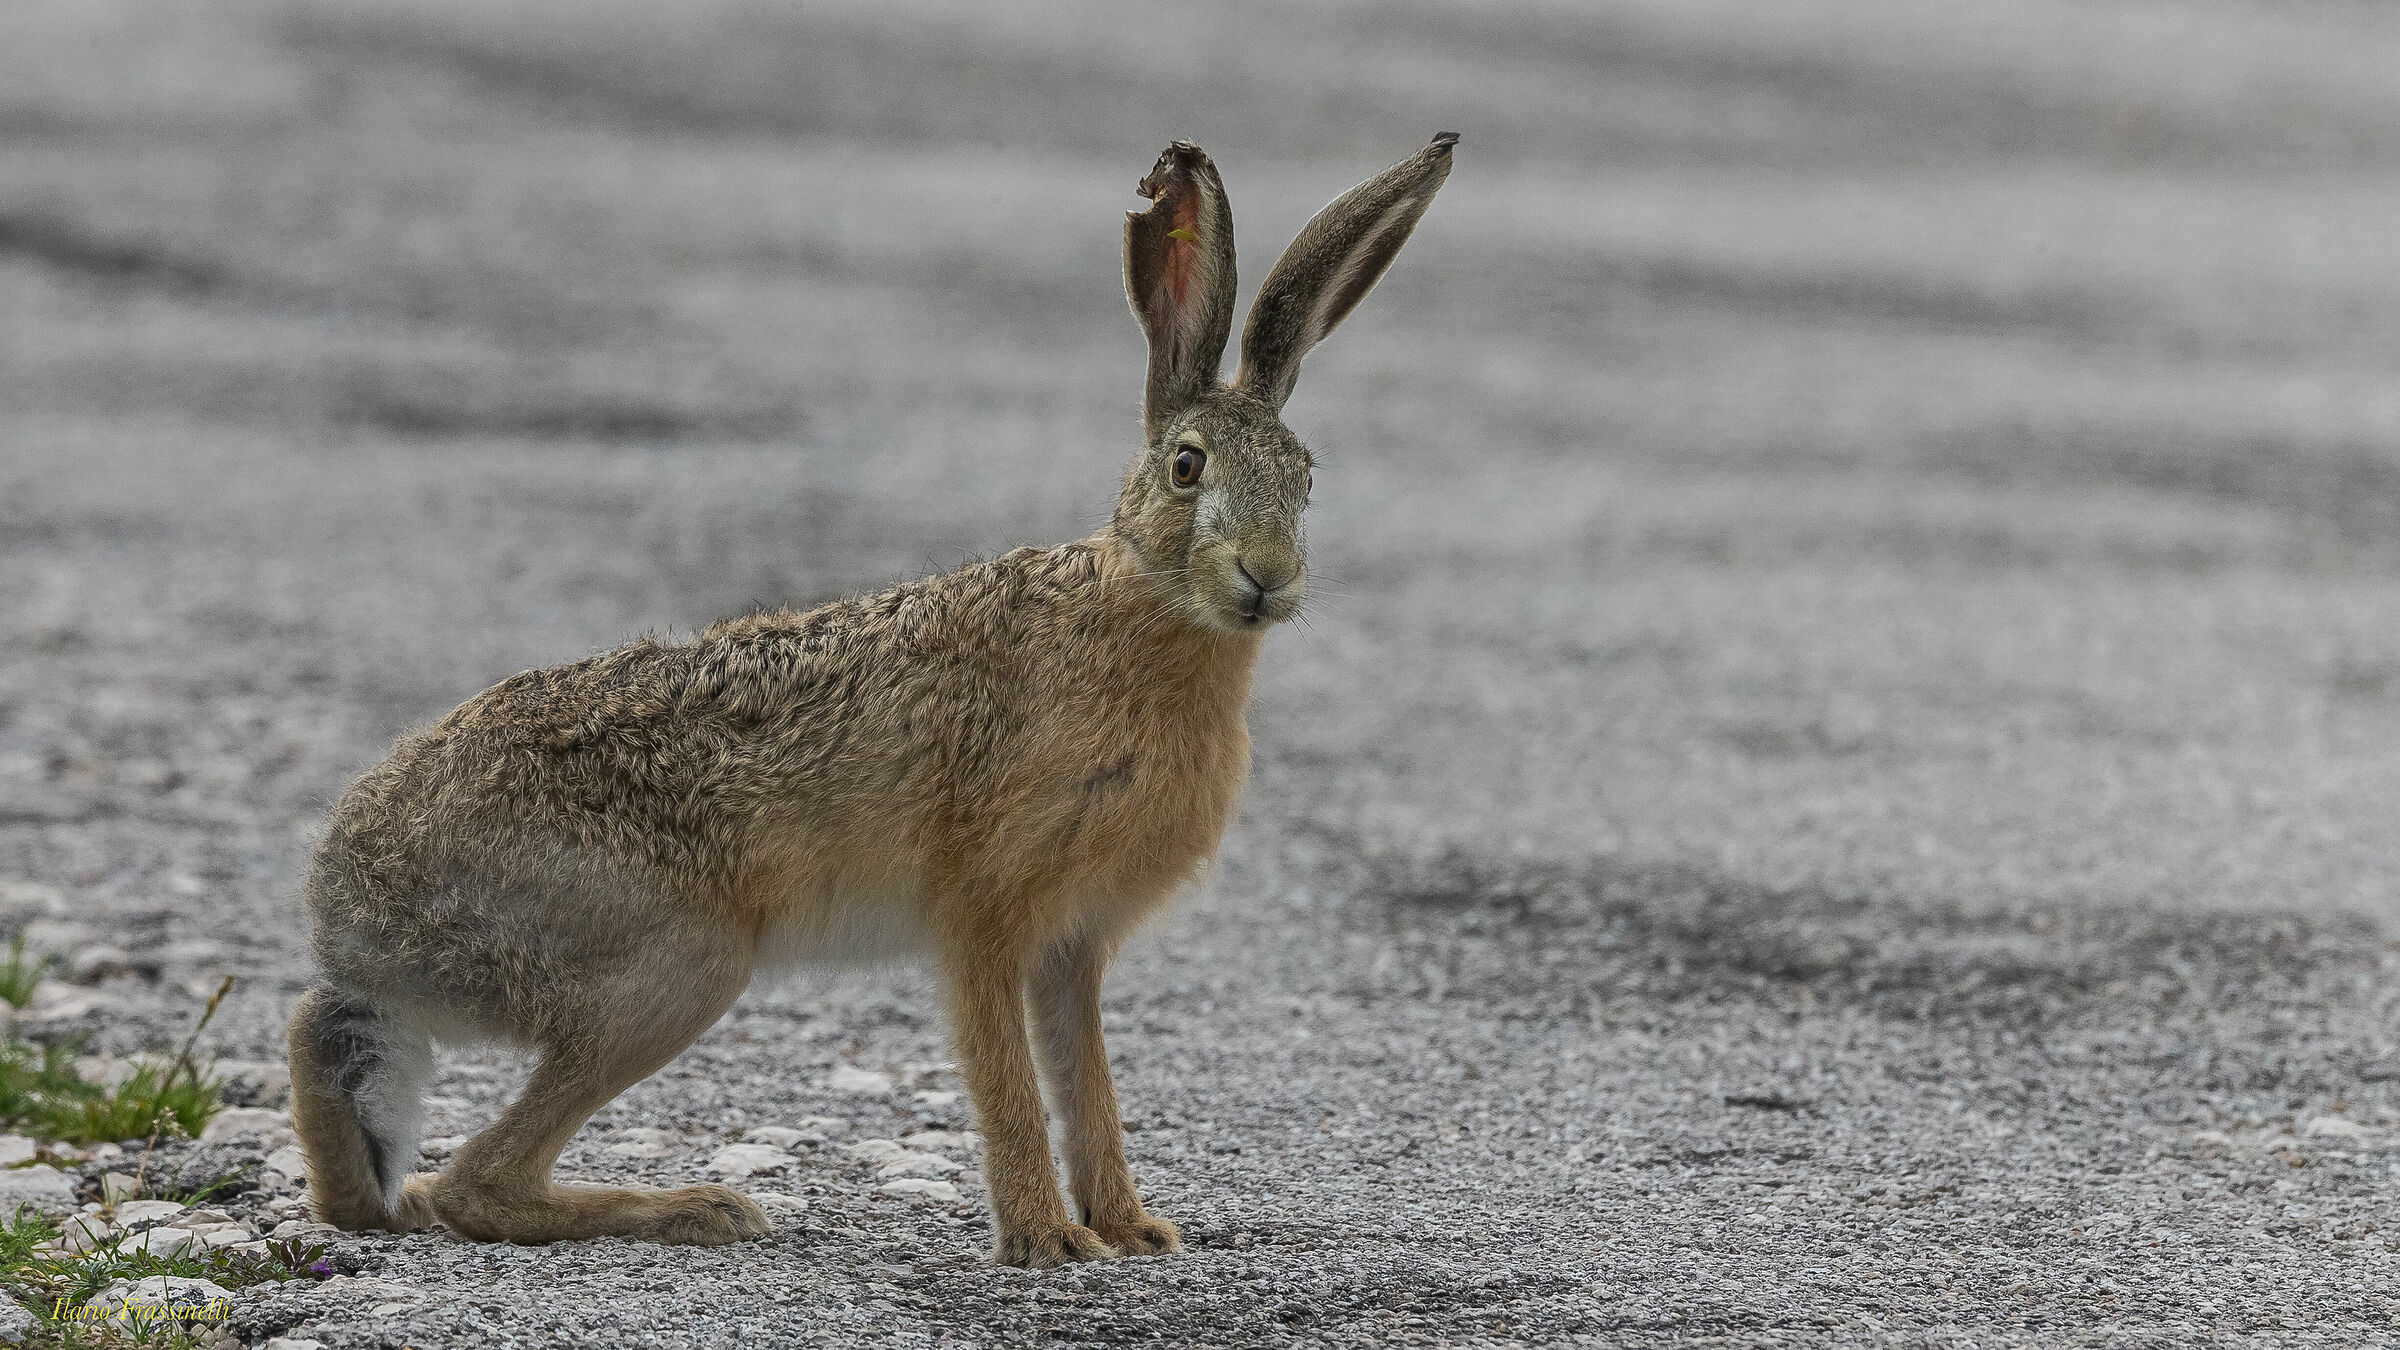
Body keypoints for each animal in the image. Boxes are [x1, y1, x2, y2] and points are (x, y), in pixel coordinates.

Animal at [286, 131, 1458, 1268]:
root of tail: (354, 913)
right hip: (675, 966)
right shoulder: (983, 908)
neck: (1143, 609)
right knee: (473, 1184)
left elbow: (1089, 1083)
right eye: (1186, 466)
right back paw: (702, 1209)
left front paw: (1130, 1230)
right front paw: (1045, 1242)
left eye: (1308, 480)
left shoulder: (1072, 943)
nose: (1268, 578)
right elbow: (1008, 1079)